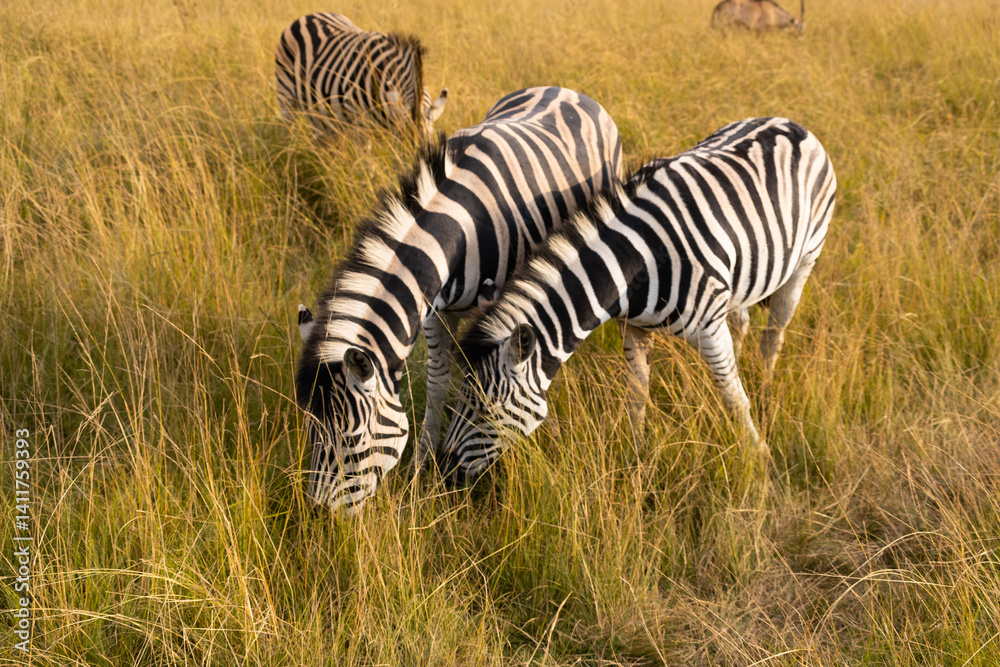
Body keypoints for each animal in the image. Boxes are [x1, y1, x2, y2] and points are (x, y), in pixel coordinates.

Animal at [296, 87, 623, 514]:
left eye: (351, 441)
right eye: (309, 430)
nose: (315, 516)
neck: (459, 224)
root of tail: (565, 90)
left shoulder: (501, 300)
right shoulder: (435, 309)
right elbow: (438, 380)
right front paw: (422, 462)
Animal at [440, 117, 836, 483]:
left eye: (484, 409)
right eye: (460, 401)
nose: (444, 473)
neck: (635, 263)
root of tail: (788, 122)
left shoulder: (709, 326)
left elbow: (733, 397)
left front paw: (760, 459)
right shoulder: (635, 327)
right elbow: (637, 394)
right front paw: (637, 455)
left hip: (805, 261)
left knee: (773, 336)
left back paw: (766, 393)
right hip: (742, 276)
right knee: (743, 323)